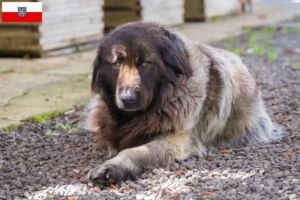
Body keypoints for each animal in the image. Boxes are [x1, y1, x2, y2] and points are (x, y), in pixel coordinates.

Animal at [85, 21, 284, 183]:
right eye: (117, 64)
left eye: (146, 64)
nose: (128, 98)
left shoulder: (179, 139)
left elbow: (137, 151)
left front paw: (114, 167)